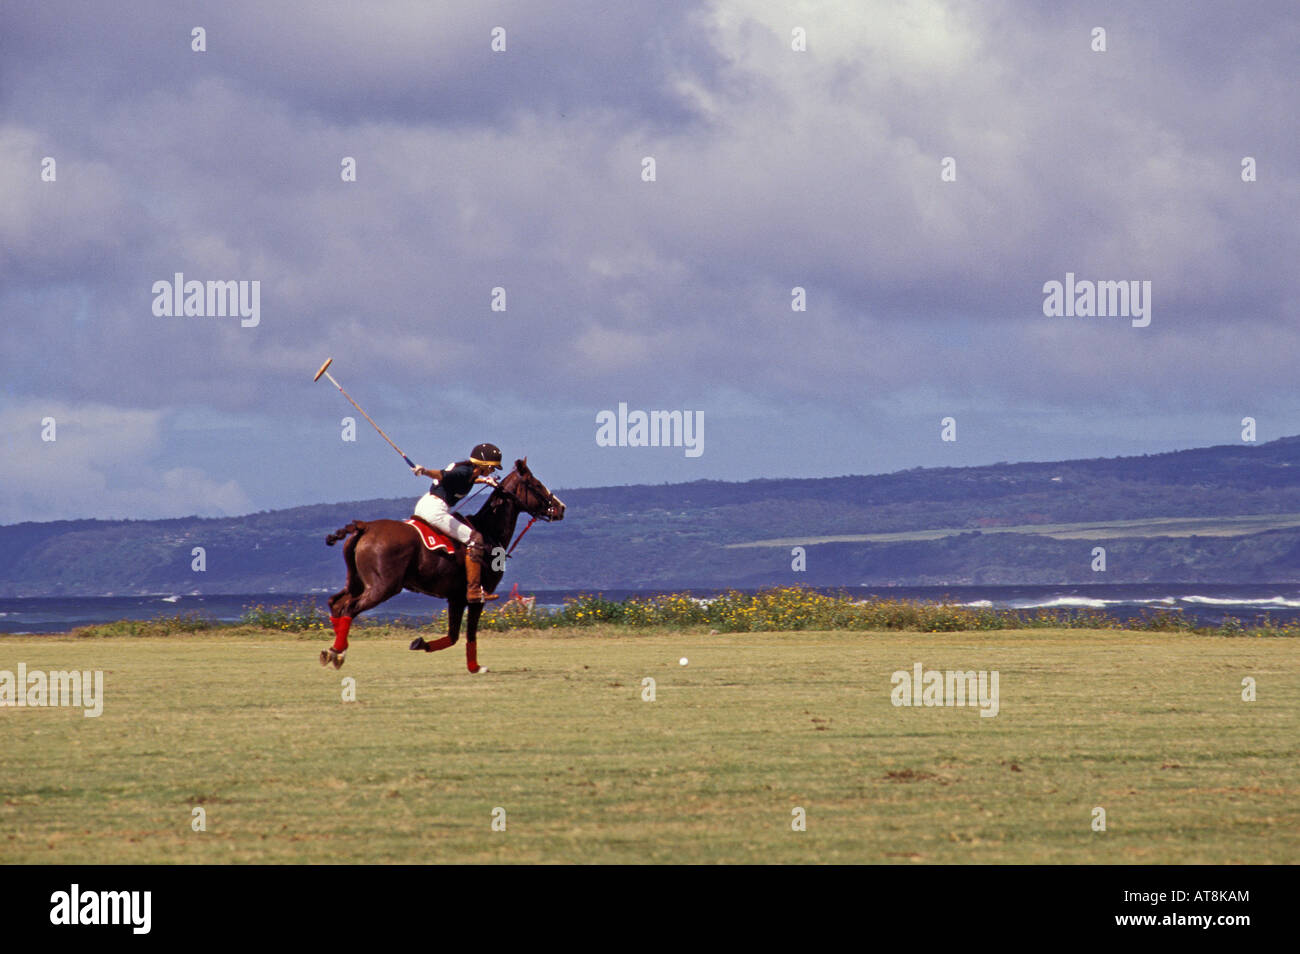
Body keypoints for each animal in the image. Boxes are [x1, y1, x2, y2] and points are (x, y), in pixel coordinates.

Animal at [319, 462, 564, 670]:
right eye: (536, 485)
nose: (561, 508)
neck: (489, 531)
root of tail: (365, 527)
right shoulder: (476, 598)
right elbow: (470, 634)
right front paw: (475, 667)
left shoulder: (455, 598)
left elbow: (453, 636)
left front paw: (420, 643)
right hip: (383, 586)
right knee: (350, 608)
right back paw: (338, 652)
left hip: (357, 581)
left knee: (336, 603)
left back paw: (335, 650)